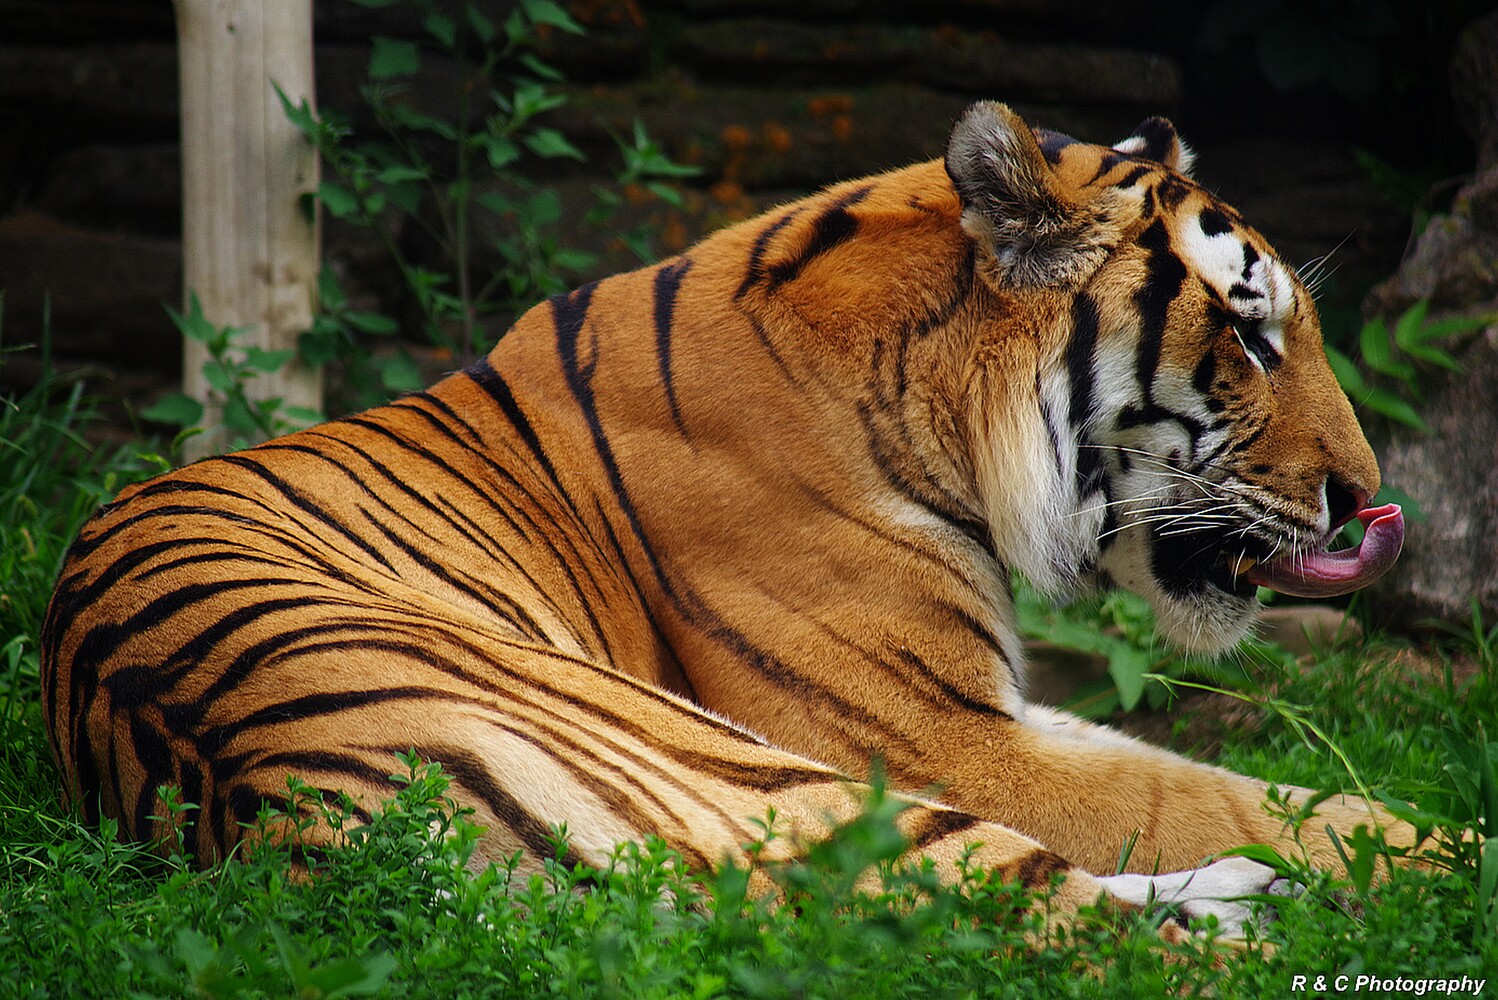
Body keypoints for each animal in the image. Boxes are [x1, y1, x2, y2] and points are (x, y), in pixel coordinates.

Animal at [42, 101, 1411, 933]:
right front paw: (1431, 850)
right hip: (781, 781)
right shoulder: (941, 737)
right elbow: (1244, 794)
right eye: (1249, 332)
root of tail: (298, 817)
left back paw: (1244, 894)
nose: (1364, 497)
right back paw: (1267, 914)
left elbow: (1218, 779)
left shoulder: (993, 709)